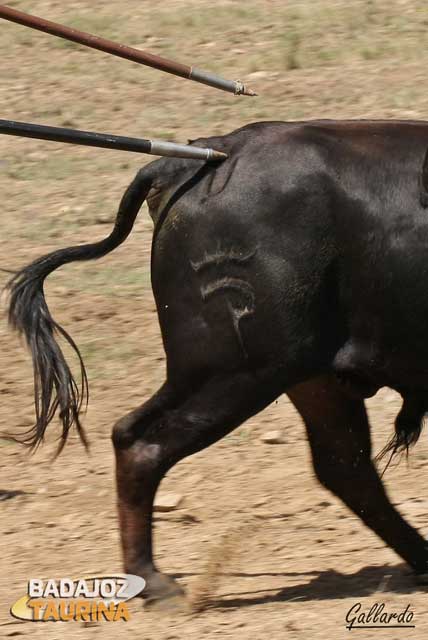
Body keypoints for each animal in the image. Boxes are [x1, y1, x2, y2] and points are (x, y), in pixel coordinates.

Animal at [6, 119, 428, 600]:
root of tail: (214, 153)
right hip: (235, 372)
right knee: (140, 441)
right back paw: (154, 582)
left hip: (303, 376)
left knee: (347, 467)